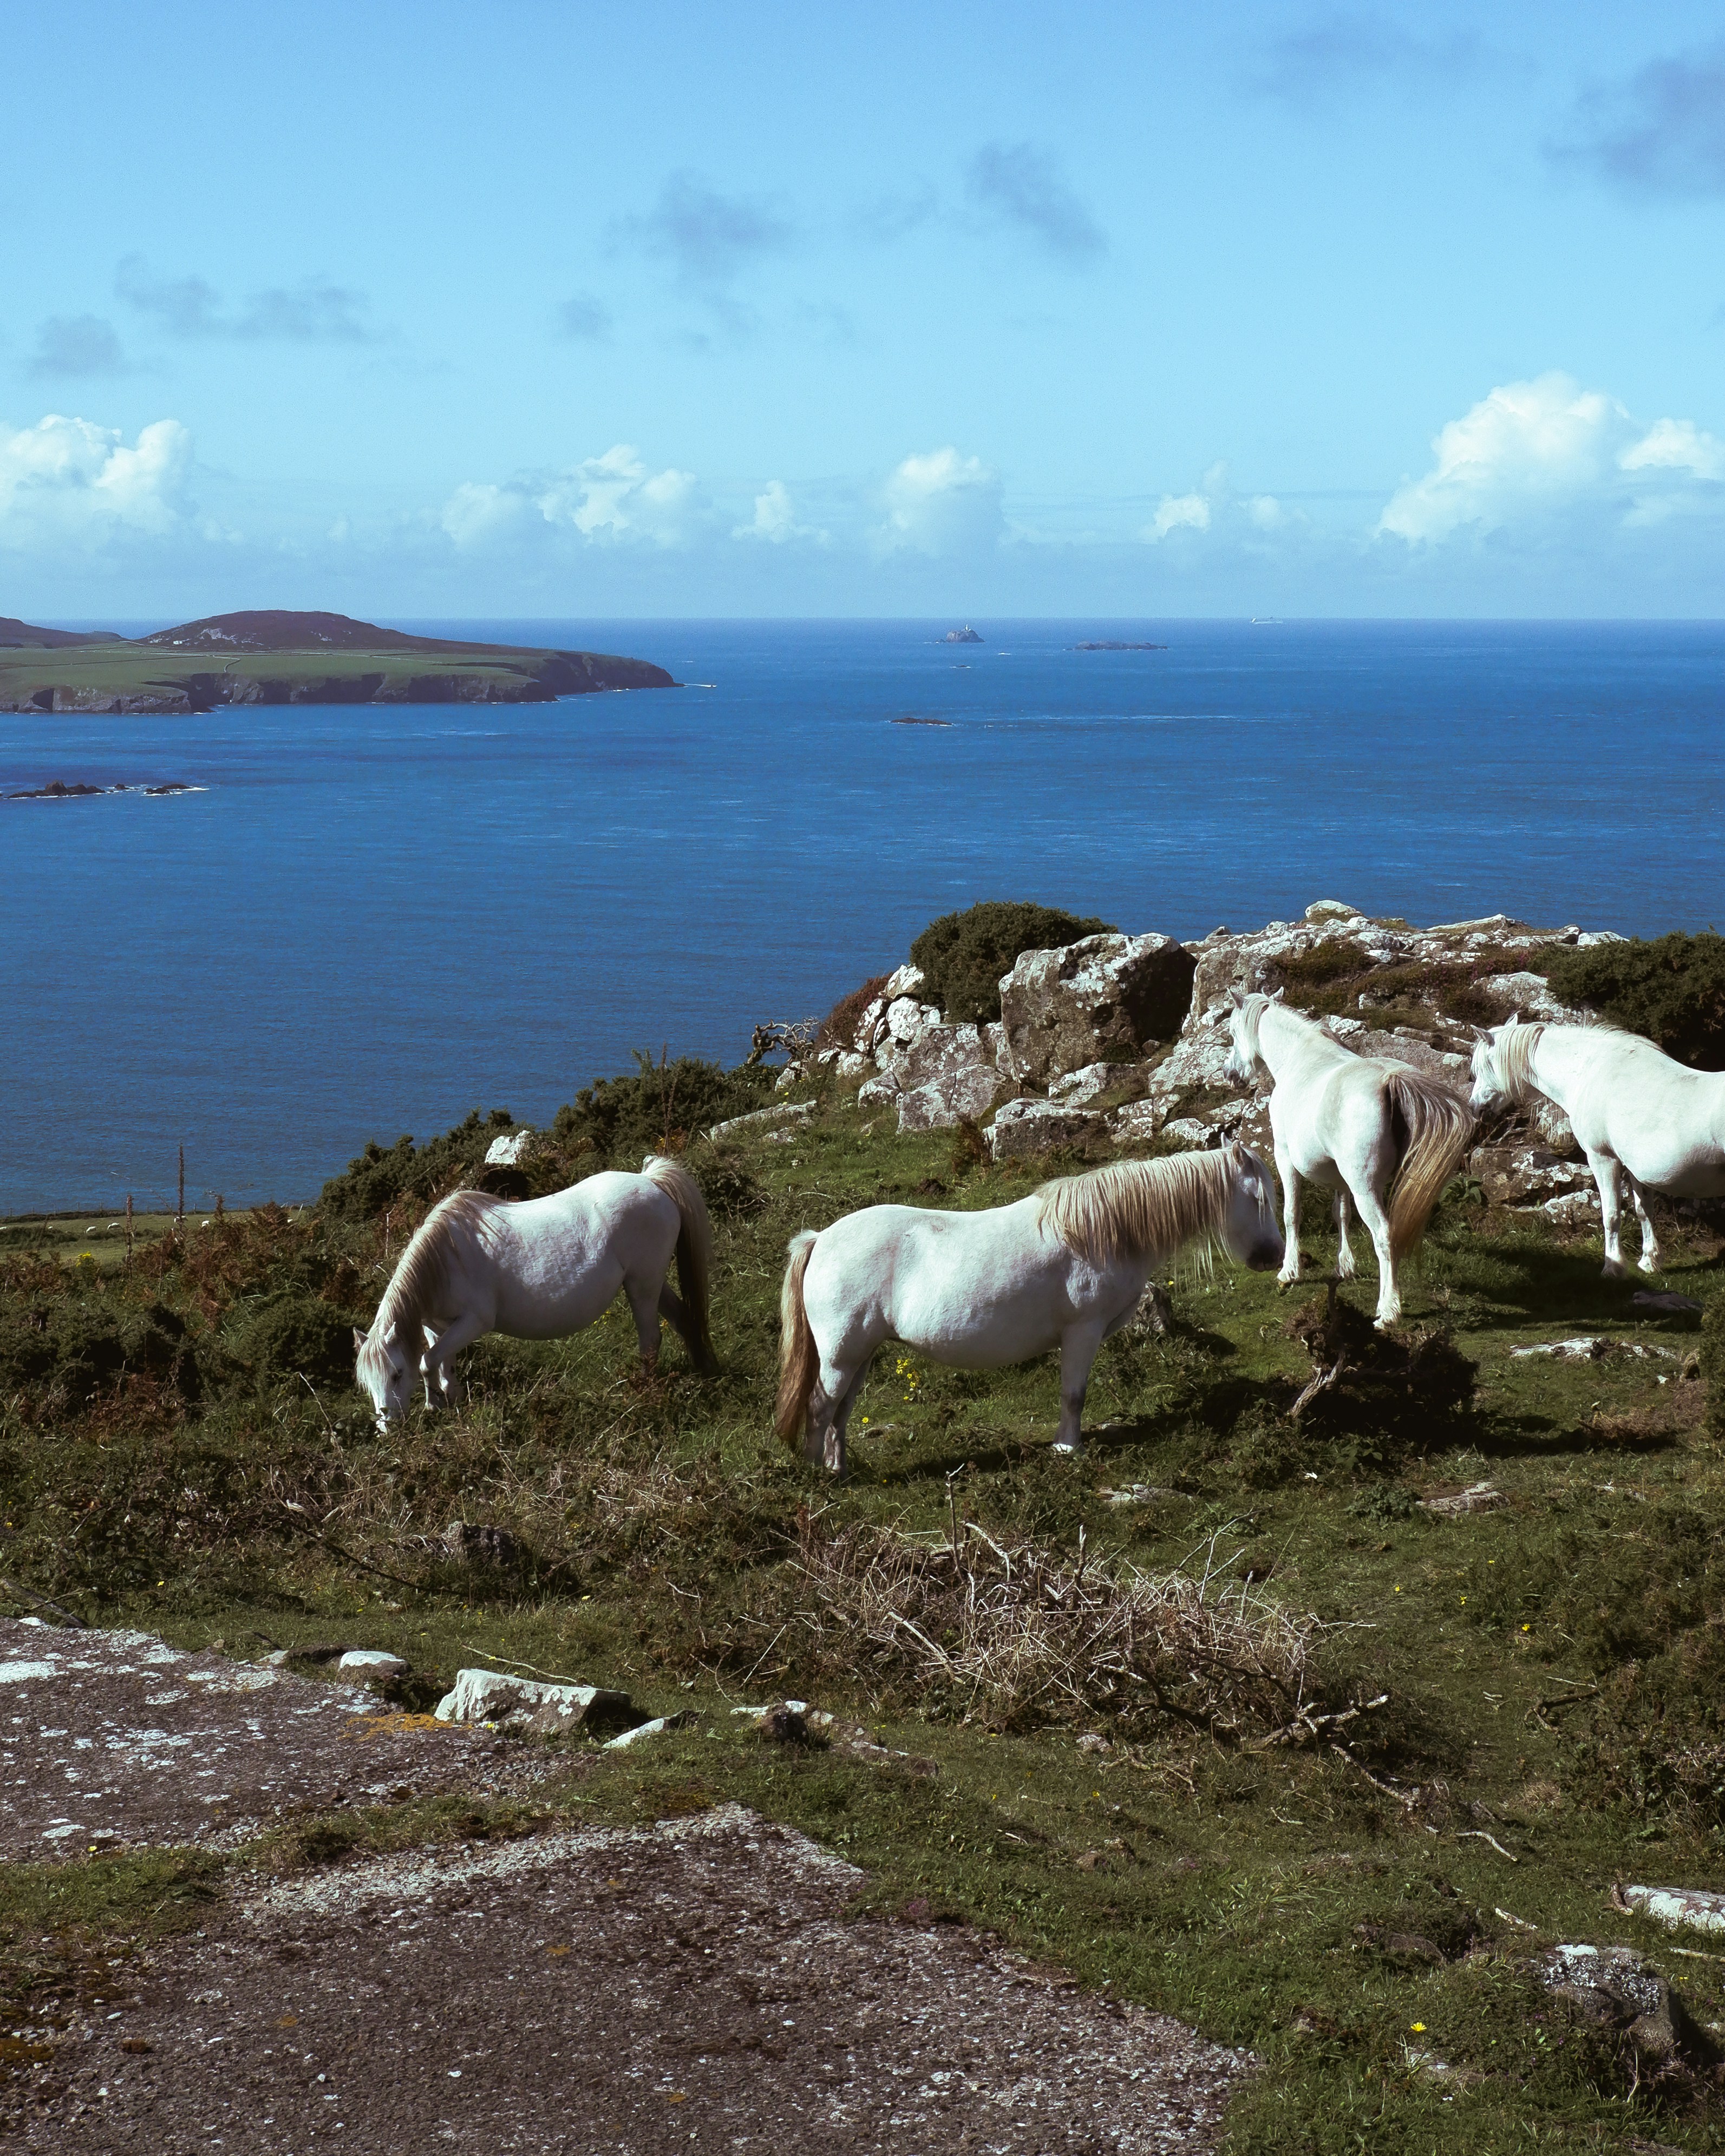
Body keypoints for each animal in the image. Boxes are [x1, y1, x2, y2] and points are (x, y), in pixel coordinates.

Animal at [353, 1155, 717, 1432]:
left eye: (397, 1374)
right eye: (367, 1382)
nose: (387, 1428)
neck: (445, 1259)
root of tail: (651, 1181)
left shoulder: (474, 1322)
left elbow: (428, 1362)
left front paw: (435, 1405)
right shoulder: (438, 1326)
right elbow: (442, 1362)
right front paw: (449, 1399)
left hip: (643, 1286)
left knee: (651, 1338)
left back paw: (643, 1390)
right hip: (651, 1283)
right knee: (683, 1319)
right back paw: (703, 1368)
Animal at [774, 1141, 1283, 1475]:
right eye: (1259, 1198)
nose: (1275, 1256)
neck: (1100, 1230)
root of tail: (820, 1239)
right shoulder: (1083, 1330)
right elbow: (1074, 1395)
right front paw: (1069, 1449)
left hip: (860, 1353)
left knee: (841, 1411)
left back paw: (839, 1469)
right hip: (841, 1354)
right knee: (821, 1406)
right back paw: (816, 1474)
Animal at [1224, 990, 1473, 1327]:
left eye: (1232, 1032)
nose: (1230, 1074)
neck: (1300, 1058)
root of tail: (1390, 1079)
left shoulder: (1284, 1158)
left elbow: (1291, 1213)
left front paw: (1289, 1271)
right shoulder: (1340, 1178)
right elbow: (1341, 1214)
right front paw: (1345, 1267)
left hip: (1365, 1187)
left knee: (1383, 1235)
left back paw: (1387, 1311)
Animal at [1469, 1016, 1725, 1276]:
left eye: (1482, 1067)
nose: (1475, 1109)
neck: (1590, 1071)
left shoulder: (1602, 1159)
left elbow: (1611, 1216)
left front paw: (1613, 1267)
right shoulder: (1634, 1169)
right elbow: (1644, 1211)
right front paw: (1649, 1261)